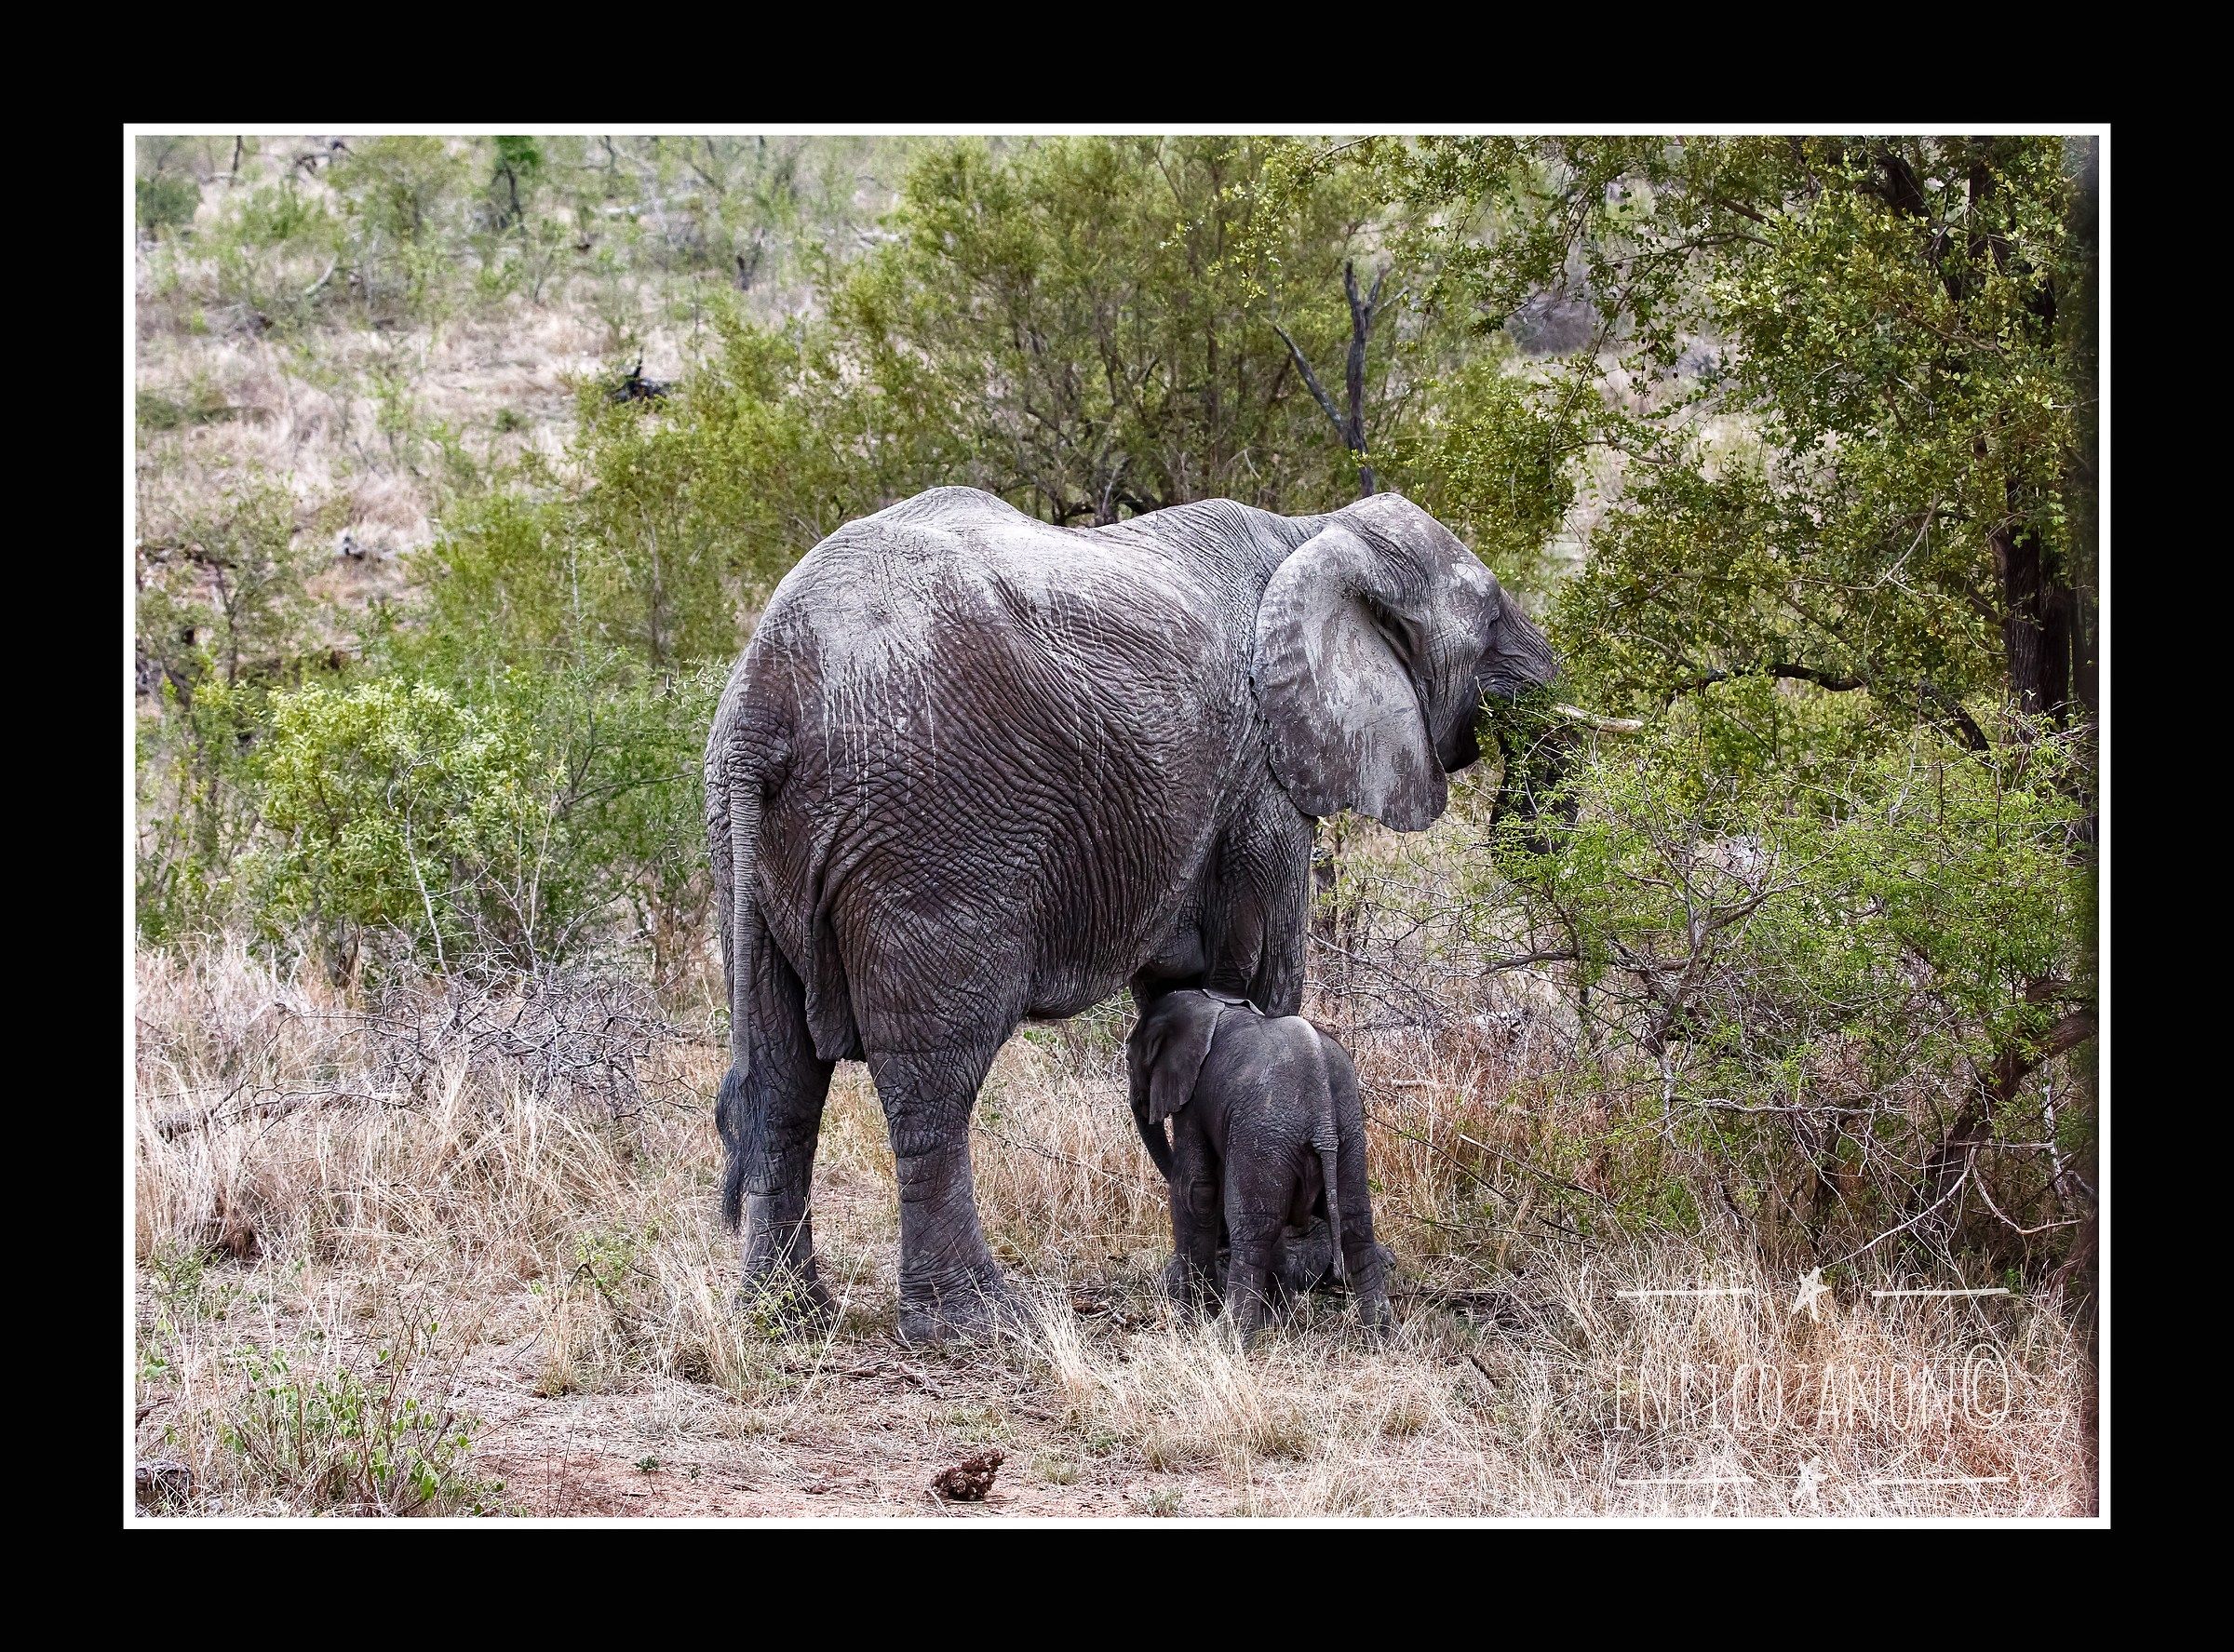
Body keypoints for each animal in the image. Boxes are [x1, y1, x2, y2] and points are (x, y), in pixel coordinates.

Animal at [1127, 989, 1391, 1342]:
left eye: (1130, 1060)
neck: (1209, 1003)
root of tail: (1321, 1112)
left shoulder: (1195, 1097)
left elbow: (1196, 1189)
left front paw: (1191, 1319)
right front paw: (1278, 1319)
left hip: (1265, 1132)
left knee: (1253, 1229)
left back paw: (1230, 1336)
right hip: (1345, 1129)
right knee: (1355, 1223)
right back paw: (1380, 1335)